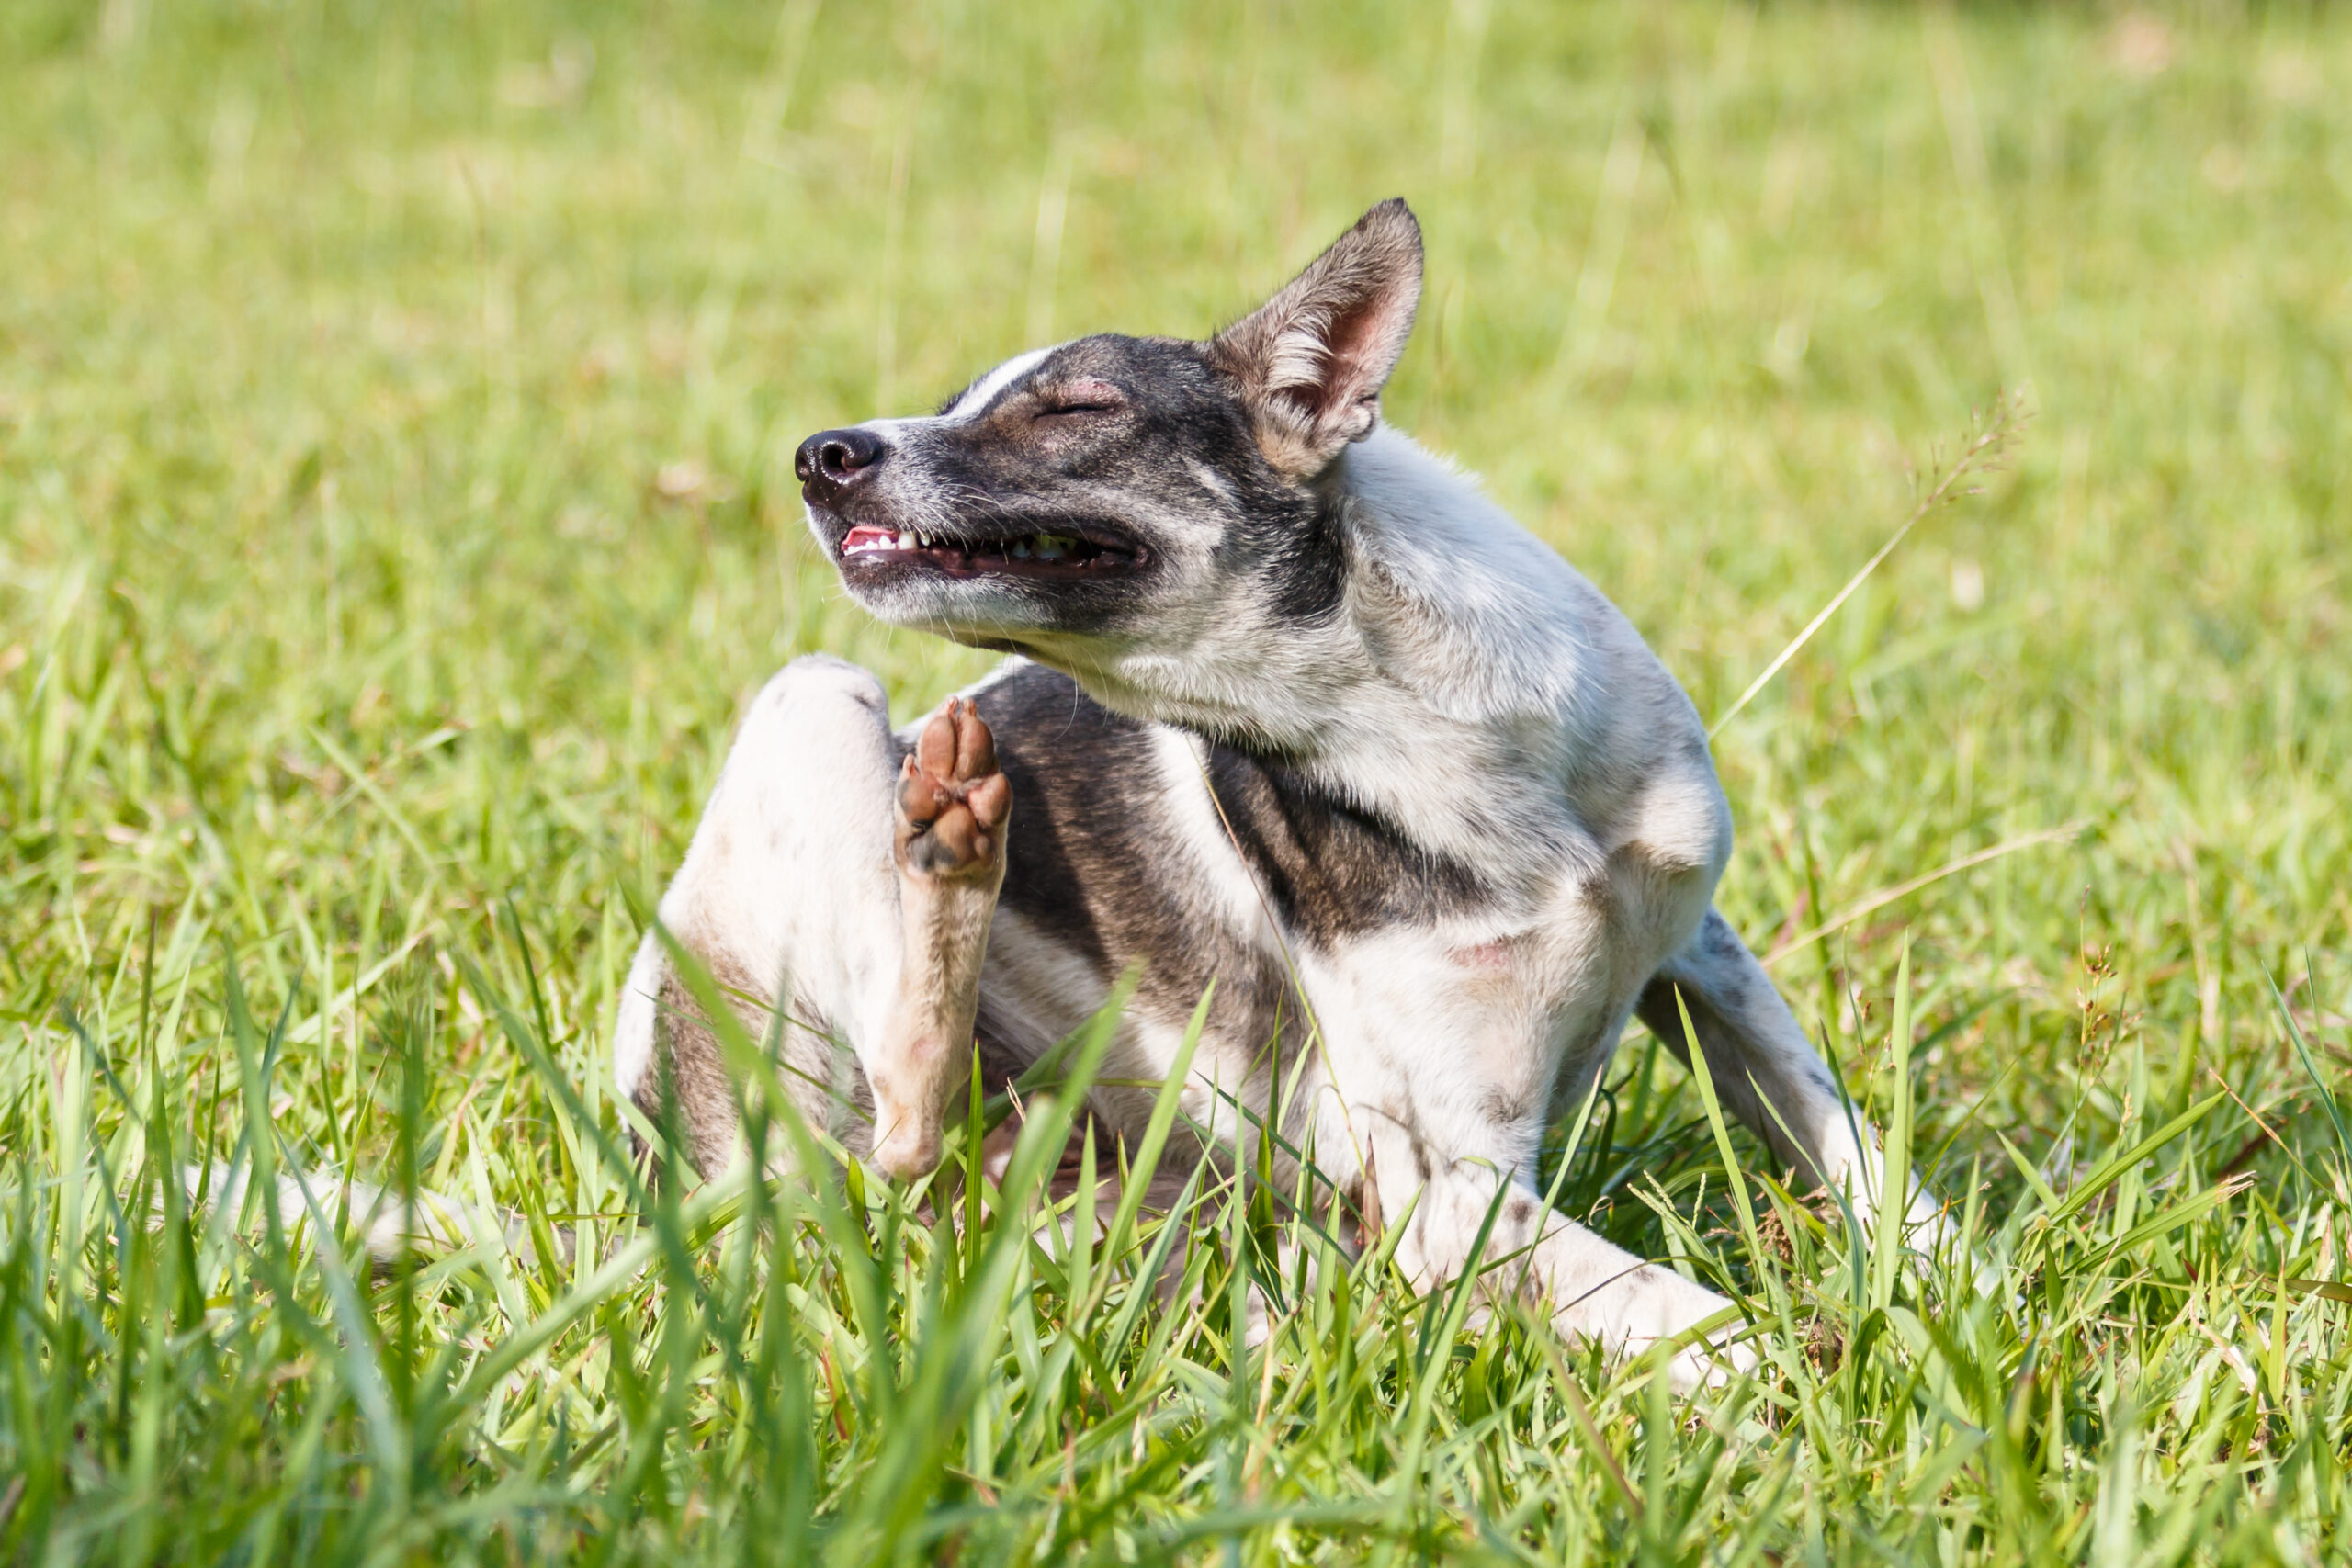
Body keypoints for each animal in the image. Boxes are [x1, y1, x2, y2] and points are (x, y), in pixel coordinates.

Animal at [611, 196, 1928, 1382]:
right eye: (953, 406)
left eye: (1076, 407)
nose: (817, 454)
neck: (1413, 722)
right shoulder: (1449, 1195)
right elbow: (1716, 1327)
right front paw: (1842, 1379)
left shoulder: (1702, 955)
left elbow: (1869, 1164)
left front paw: (1942, 1294)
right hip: (813, 701)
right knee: (900, 1120)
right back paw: (948, 838)